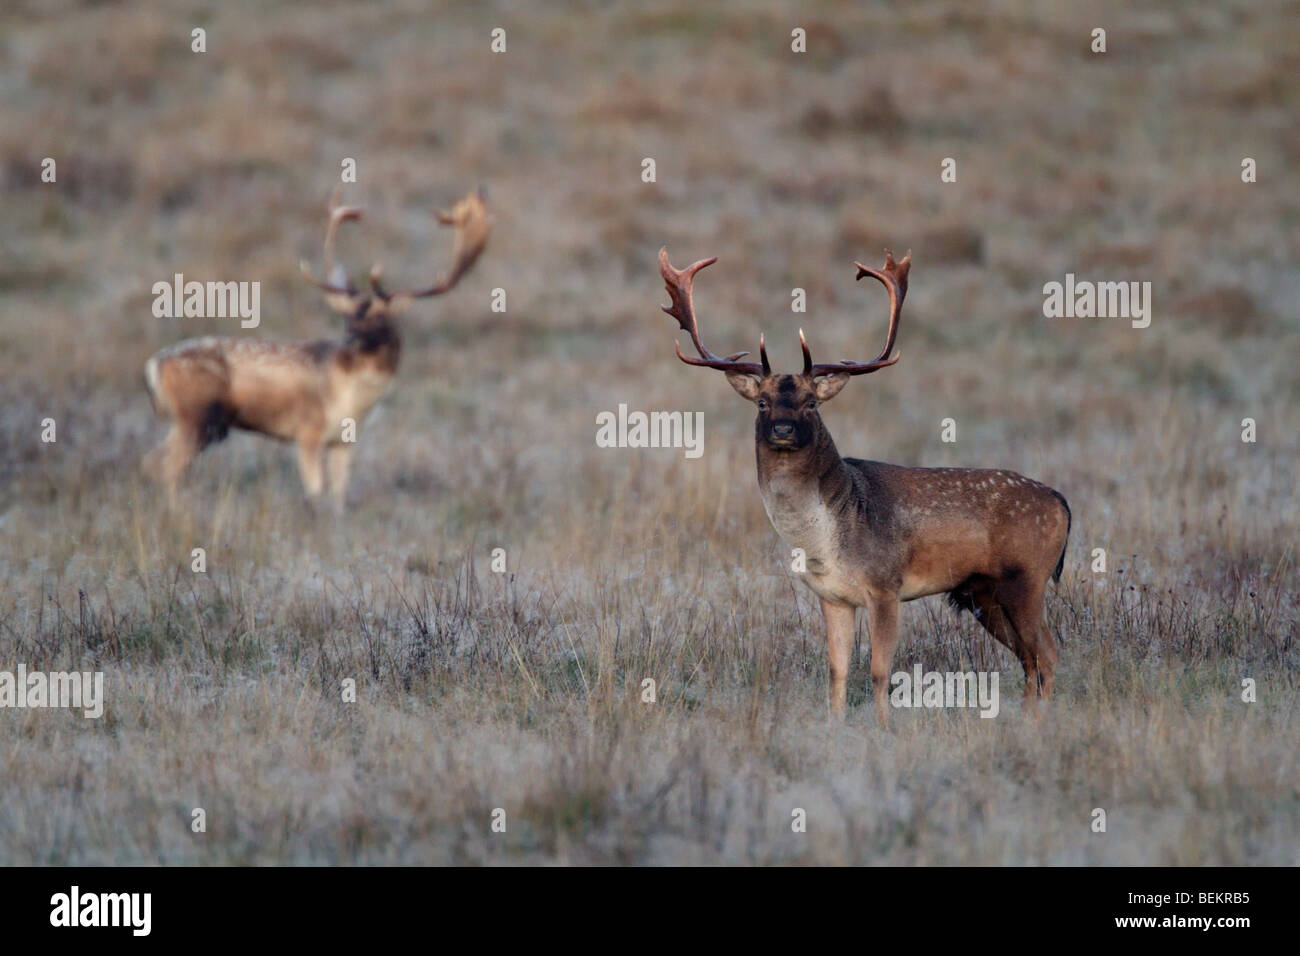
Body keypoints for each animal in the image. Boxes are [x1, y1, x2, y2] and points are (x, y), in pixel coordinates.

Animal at [141, 189, 488, 512]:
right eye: (348, 316)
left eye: (380, 318)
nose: (351, 339)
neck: (351, 398)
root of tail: (153, 366)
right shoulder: (307, 431)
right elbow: (316, 492)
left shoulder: (343, 442)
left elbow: (339, 496)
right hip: (197, 416)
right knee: (162, 465)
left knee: (157, 462)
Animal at [655, 248, 1071, 723]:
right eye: (762, 401)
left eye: (810, 403)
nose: (782, 428)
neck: (826, 538)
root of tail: (1062, 503)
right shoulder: (833, 596)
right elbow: (837, 670)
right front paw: (836, 724)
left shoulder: (886, 584)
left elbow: (878, 671)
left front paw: (884, 727)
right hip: (983, 592)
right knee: (1028, 657)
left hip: (1028, 576)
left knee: (1047, 652)